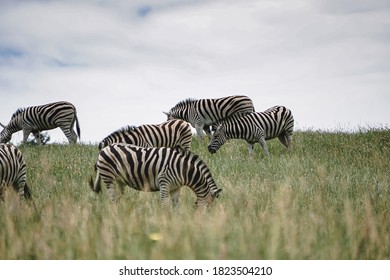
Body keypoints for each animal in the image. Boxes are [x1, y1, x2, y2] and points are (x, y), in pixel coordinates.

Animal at [89, 144, 222, 208]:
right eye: (209, 205)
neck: (183, 169)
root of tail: (103, 149)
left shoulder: (176, 188)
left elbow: (176, 206)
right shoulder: (164, 182)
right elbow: (164, 205)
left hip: (119, 181)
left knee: (117, 198)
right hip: (108, 177)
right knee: (113, 199)